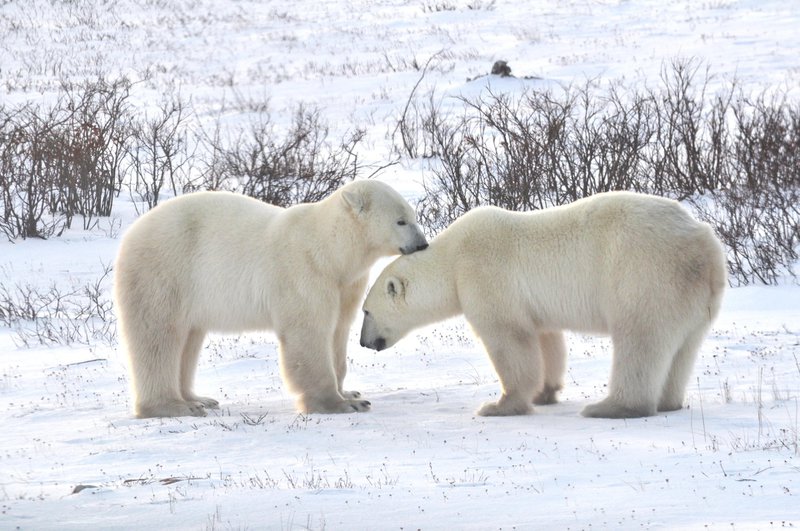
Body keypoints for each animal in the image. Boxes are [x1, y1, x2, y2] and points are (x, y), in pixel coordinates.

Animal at [114, 180, 428, 418]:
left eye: (414, 217)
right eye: (401, 221)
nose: (423, 244)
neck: (330, 250)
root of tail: (131, 233)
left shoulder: (345, 284)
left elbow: (337, 332)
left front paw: (350, 391)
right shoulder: (305, 273)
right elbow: (308, 334)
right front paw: (340, 403)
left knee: (188, 340)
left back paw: (198, 399)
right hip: (164, 272)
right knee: (158, 337)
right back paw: (173, 406)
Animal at [360, 191, 727, 418]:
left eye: (366, 311)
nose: (364, 342)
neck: (451, 258)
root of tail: (703, 244)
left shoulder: (484, 274)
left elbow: (508, 339)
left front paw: (499, 405)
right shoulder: (534, 306)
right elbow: (546, 340)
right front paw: (544, 393)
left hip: (644, 273)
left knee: (640, 339)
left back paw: (610, 407)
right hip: (695, 296)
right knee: (683, 347)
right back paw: (668, 402)